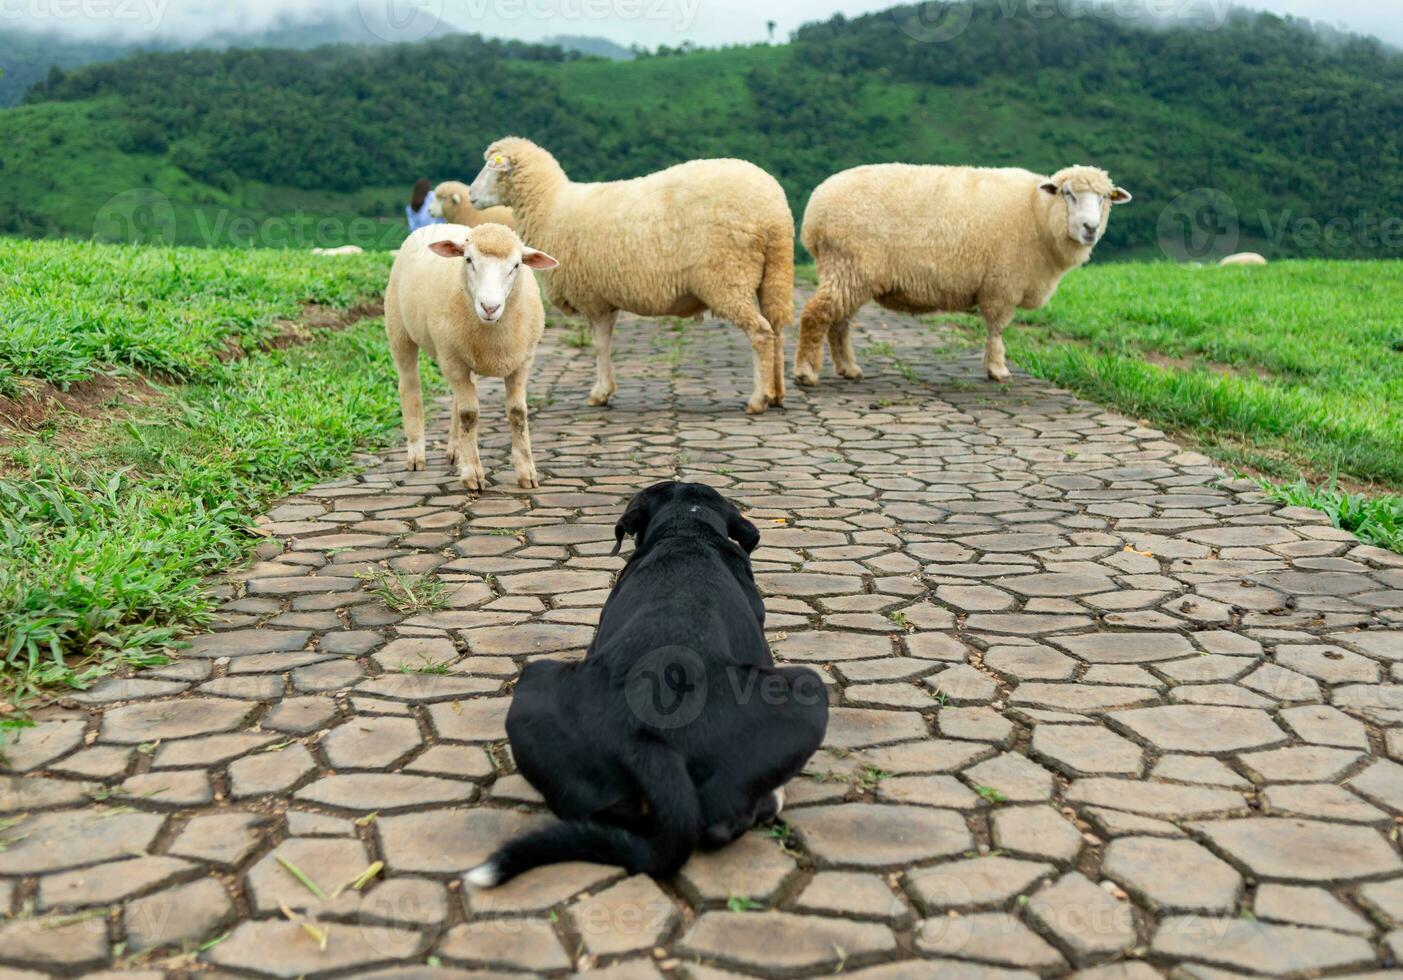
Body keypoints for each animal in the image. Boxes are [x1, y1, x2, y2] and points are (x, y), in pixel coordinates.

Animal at [390, 222, 558, 490]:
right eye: (468, 259)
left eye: (516, 265)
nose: (490, 307)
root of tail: (437, 224)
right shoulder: (452, 359)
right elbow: (469, 415)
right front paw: (472, 474)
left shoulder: (522, 361)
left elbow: (518, 414)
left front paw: (527, 472)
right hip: (399, 330)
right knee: (410, 387)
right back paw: (416, 454)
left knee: (458, 399)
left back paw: (455, 450)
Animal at [465, 135, 796, 412]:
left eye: (491, 167)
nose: (470, 195)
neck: (550, 205)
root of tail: (774, 211)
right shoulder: (604, 297)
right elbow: (606, 342)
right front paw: (605, 390)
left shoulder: (592, 297)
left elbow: (600, 345)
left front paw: (600, 393)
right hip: (774, 273)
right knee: (777, 330)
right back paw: (776, 394)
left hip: (728, 276)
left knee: (761, 333)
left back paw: (758, 399)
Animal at [796, 164, 1133, 384]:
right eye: (1067, 193)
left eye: (1104, 197)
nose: (1090, 228)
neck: (1037, 213)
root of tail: (814, 211)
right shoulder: (1001, 284)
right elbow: (997, 329)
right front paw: (998, 370)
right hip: (847, 264)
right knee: (816, 314)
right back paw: (806, 372)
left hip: (850, 272)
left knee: (839, 323)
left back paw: (848, 369)